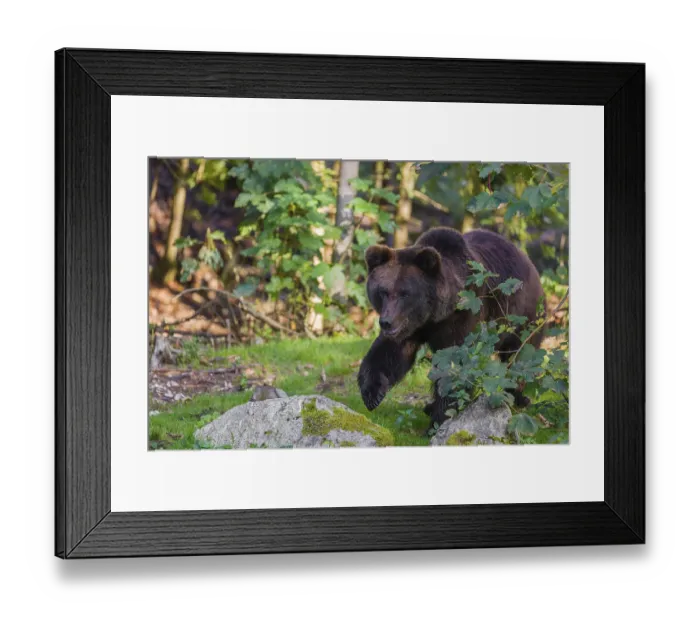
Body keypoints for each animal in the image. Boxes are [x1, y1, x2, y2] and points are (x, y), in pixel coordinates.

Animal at [357, 226, 545, 425]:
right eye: (383, 291)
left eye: (405, 293)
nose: (386, 322)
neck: (435, 314)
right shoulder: (411, 326)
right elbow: (390, 353)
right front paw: (372, 393)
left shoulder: (463, 316)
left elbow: (455, 365)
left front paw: (441, 417)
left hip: (523, 316)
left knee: (520, 357)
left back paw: (518, 397)